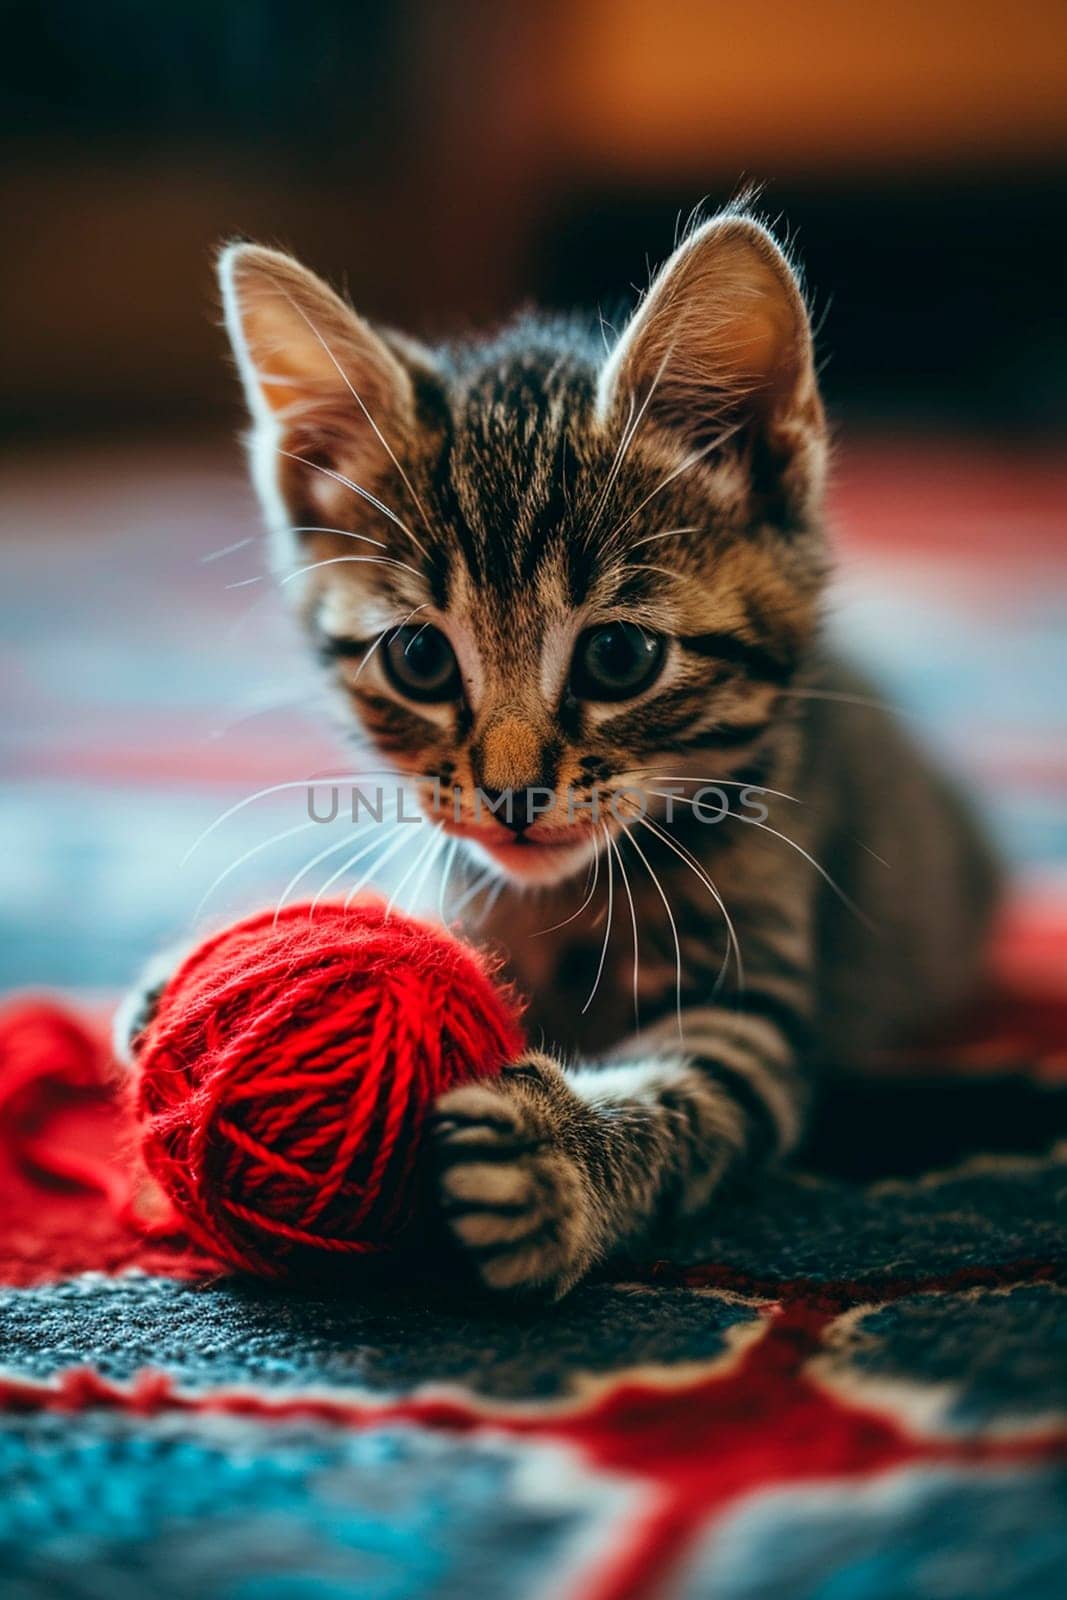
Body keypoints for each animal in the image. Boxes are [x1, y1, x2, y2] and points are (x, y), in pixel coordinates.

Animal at [127, 203, 1004, 1299]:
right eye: (419, 658)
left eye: (618, 657)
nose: (509, 795)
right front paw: (195, 979)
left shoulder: (753, 1002)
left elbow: (700, 1092)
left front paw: (558, 1152)